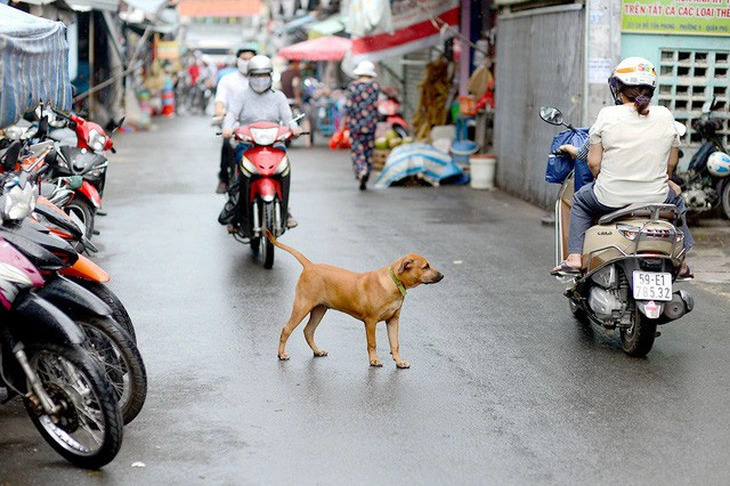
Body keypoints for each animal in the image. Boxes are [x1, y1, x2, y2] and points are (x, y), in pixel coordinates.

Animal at [264, 232, 440, 368]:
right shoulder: (371, 321)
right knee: (286, 329)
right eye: (425, 267)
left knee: (308, 331)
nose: (442, 275)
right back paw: (281, 354)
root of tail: (309, 265)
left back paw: (317, 351)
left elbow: (395, 344)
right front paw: (374, 360)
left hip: (319, 309)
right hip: (302, 306)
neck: (393, 282)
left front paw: (399, 362)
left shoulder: (393, 320)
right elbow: (372, 343)